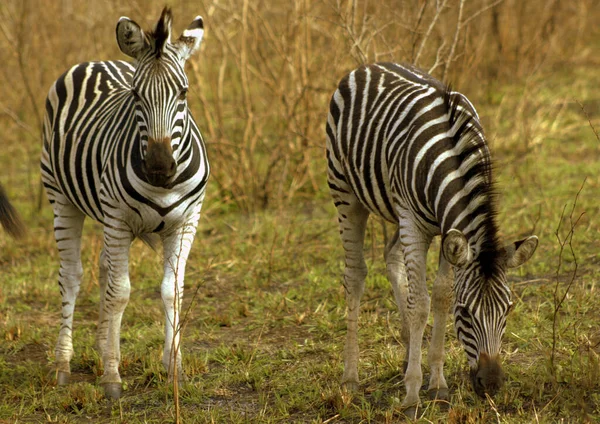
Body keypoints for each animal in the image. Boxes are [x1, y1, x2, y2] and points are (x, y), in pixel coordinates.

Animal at [40, 7, 209, 400]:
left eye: (184, 92)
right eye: (135, 94)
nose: (160, 166)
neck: (163, 187)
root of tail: (97, 61)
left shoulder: (186, 222)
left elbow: (171, 291)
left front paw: (174, 368)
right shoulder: (118, 219)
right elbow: (120, 294)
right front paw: (112, 377)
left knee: (103, 269)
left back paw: (103, 345)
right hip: (61, 198)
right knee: (71, 276)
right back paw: (63, 365)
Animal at [328, 63, 540, 414]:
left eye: (508, 310)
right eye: (465, 313)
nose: (491, 385)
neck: (450, 158)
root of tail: (371, 65)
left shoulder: (447, 228)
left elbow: (440, 295)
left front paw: (437, 382)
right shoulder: (414, 223)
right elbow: (420, 305)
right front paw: (413, 392)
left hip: (397, 212)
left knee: (391, 257)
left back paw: (404, 356)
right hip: (345, 192)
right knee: (355, 274)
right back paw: (350, 378)